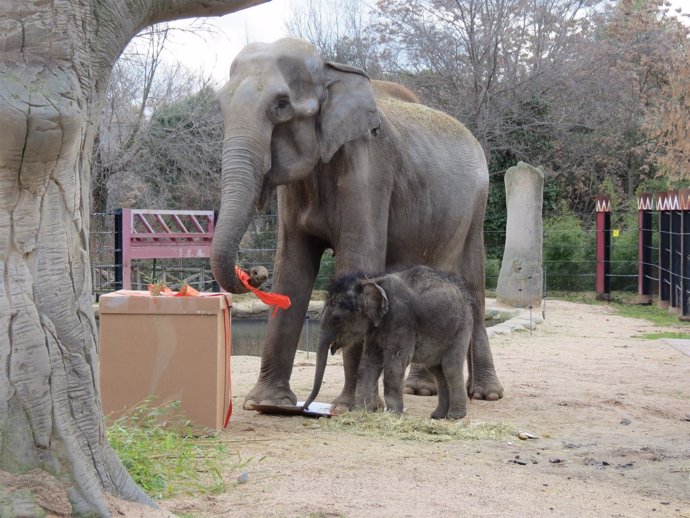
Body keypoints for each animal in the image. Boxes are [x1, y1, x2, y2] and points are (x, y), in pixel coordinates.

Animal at [304, 266, 476, 420]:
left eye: (337, 318)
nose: (305, 408)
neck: (371, 281)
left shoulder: (401, 320)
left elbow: (394, 364)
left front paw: (394, 416)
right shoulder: (375, 328)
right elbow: (369, 364)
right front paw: (361, 412)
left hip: (461, 330)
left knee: (450, 367)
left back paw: (455, 416)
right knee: (437, 369)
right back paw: (438, 416)